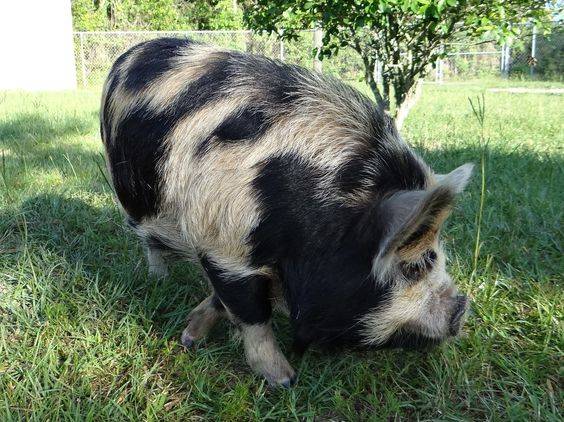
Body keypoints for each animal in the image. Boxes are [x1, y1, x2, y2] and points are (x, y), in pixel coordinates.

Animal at [100, 37, 472, 387]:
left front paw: (192, 335)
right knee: (148, 240)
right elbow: (252, 312)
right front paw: (283, 380)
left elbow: (225, 300)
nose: (462, 308)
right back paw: (158, 278)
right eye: (415, 265)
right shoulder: (225, 248)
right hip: (129, 191)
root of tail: (132, 52)